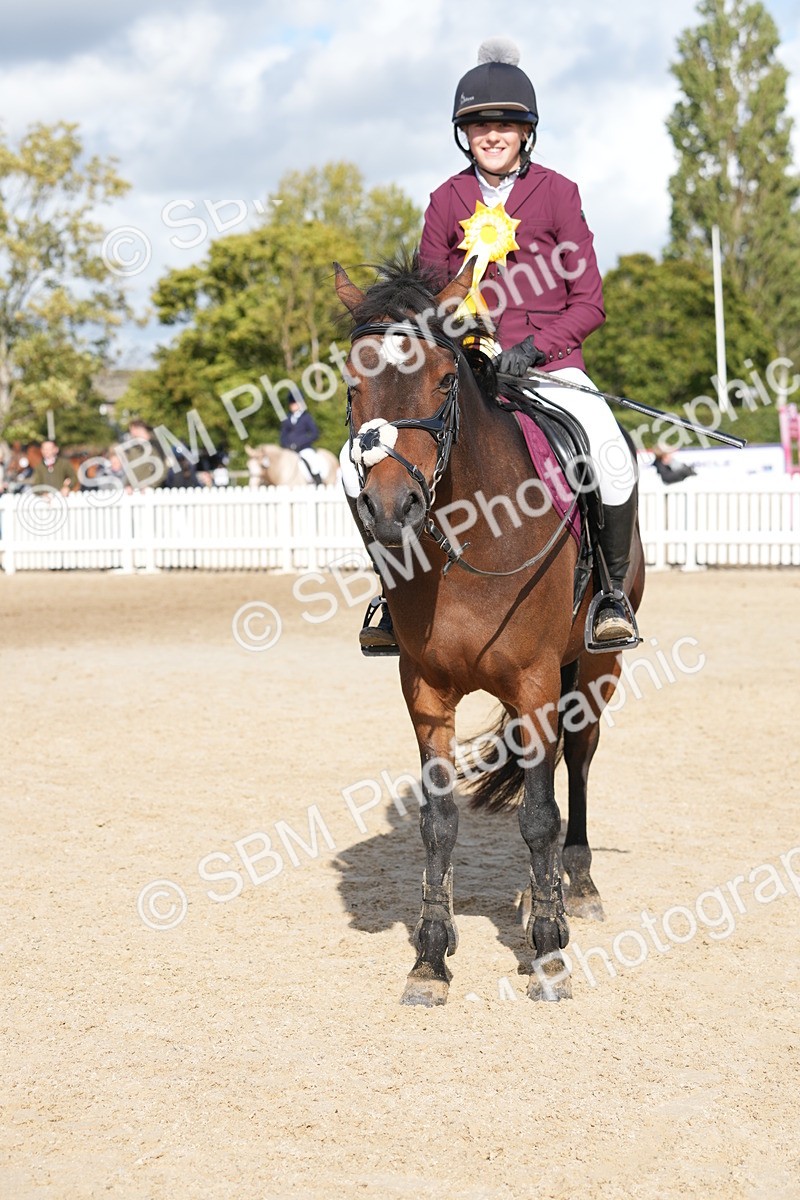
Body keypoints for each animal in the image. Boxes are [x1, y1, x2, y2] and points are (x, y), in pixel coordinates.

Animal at [334, 256, 646, 1007]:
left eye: (446, 380)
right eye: (355, 384)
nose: (392, 507)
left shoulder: (535, 683)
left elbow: (538, 816)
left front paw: (550, 952)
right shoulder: (425, 692)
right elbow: (438, 821)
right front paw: (429, 958)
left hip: (594, 670)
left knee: (576, 764)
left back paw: (574, 886)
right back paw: (541, 895)